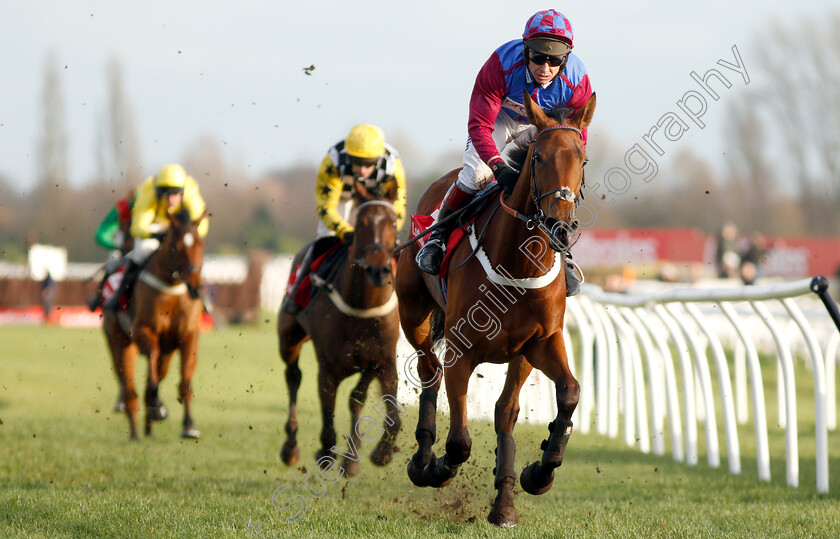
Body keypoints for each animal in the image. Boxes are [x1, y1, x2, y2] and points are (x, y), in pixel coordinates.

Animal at [102, 209, 208, 440]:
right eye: (175, 247)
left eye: (200, 245)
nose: (197, 287)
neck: (172, 288)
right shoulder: (143, 331)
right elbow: (151, 375)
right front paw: (159, 408)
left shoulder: (188, 336)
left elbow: (184, 382)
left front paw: (189, 426)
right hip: (119, 342)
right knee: (129, 389)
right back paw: (135, 433)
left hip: (166, 352)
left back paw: (149, 428)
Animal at [278, 184, 404, 478]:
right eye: (360, 222)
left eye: (393, 221)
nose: (378, 270)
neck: (362, 308)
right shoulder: (328, 365)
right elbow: (327, 407)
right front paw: (326, 453)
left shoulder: (381, 360)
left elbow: (373, 405)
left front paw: (375, 454)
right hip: (288, 338)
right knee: (293, 376)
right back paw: (290, 446)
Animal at [398, 93, 592, 528]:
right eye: (539, 156)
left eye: (583, 159)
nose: (560, 226)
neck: (518, 265)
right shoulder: (460, 351)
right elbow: (459, 442)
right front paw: (437, 468)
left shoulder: (538, 344)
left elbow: (559, 396)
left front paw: (533, 477)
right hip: (413, 314)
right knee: (429, 370)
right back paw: (422, 460)